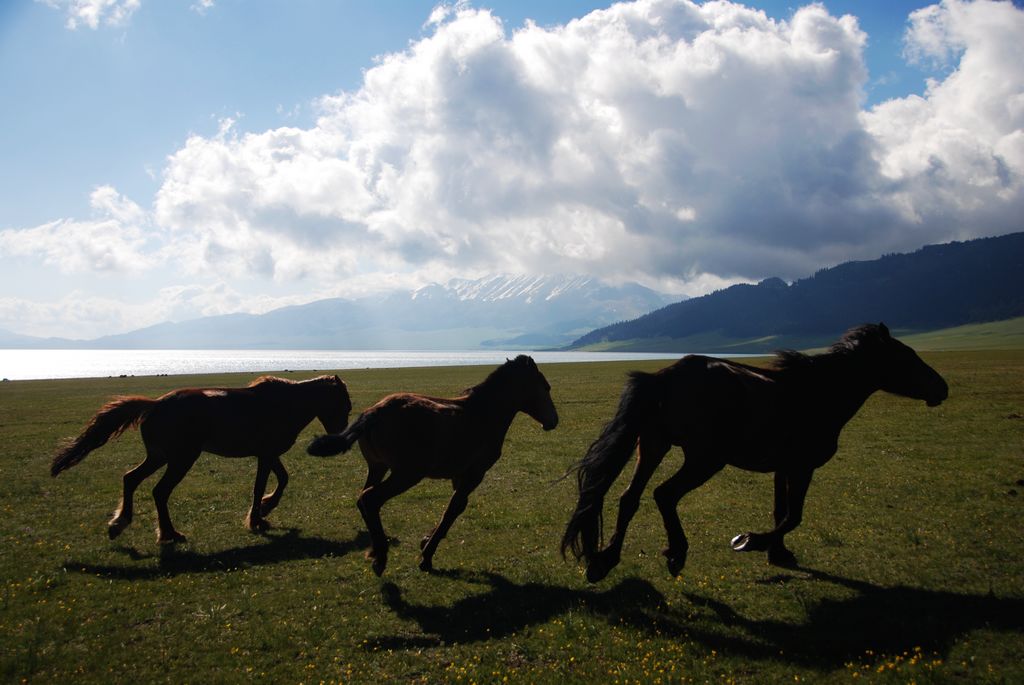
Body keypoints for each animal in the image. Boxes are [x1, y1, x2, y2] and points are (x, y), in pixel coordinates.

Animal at [51, 374, 352, 540]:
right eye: (344, 404)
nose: (339, 434)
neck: (285, 403)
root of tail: (156, 404)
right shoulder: (266, 455)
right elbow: (260, 487)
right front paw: (256, 518)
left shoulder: (268, 454)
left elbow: (283, 479)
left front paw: (265, 511)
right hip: (181, 459)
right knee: (160, 491)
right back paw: (169, 534)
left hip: (160, 457)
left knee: (131, 479)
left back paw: (120, 523)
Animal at [307, 356, 561, 573]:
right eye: (545, 387)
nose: (554, 421)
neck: (483, 413)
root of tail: (374, 412)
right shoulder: (475, 473)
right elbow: (453, 510)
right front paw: (427, 556)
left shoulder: (460, 476)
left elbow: (457, 506)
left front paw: (425, 541)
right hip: (406, 474)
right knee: (370, 498)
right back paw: (381, 557)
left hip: (378, 467)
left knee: (363, 499)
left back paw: (375, 550)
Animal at [565, 323, 946, 581]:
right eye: (907, 357)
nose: (942, 388)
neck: (820, 393)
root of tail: (663, 377)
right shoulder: (802, 466)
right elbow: (793, 515)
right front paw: (750, 541)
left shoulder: (783, 467)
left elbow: (781, 511)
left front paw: (779, 552)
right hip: (704, 459)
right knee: (664, 494)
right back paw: (676, 552)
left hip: (654, 444)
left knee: (630, 497)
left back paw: (606, 560)